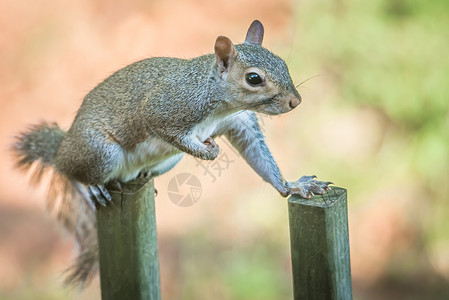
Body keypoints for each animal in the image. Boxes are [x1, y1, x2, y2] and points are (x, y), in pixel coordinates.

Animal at [12, 20, 330, 286]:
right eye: (253, 78)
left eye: (283, 63)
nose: (295, 101)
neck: (218, 99)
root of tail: (61, 149)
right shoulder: (165, 109)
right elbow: (166, 129)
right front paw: (209, 152)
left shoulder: (240, 124)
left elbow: (259, 157)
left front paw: (291, 186)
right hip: (98, 152)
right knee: (75, 174)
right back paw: (93, 188)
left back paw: (144, 176)